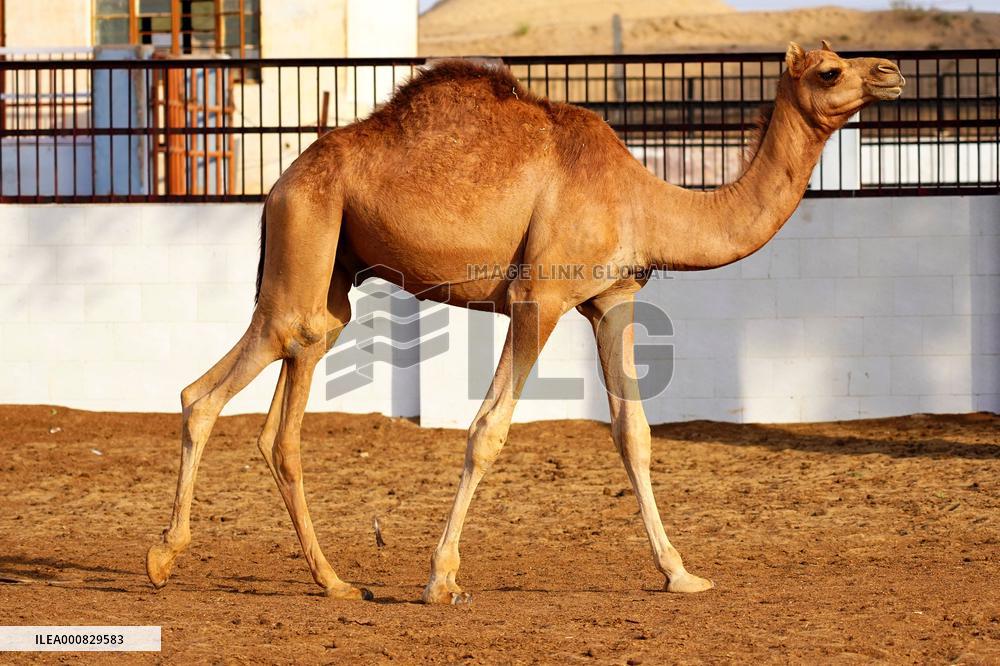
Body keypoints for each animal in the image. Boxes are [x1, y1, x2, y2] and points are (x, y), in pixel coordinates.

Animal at [146, 42, 904, 603]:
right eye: (831, 69)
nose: (891, 72)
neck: (645, 199)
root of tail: (276, 185)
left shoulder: (613, 298)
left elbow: (633, 434)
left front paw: (681, 573)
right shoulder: (539, 298)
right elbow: (487, 431)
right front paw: (441, 580)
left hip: (330, 275)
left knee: (284, 414)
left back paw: (333, 582)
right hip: (305, 239)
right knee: (212, 389)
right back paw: (163, 558)